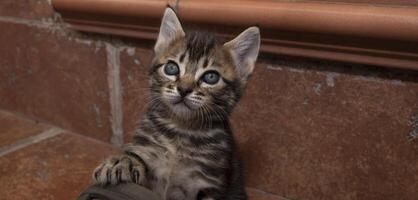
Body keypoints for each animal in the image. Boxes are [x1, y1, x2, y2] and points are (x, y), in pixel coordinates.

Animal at [93, 7, 260, 199]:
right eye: (171, 68)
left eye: (211, 77)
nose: (183, 89)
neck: (181, 130)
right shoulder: (147, 153)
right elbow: (135, 159)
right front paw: (122, 162)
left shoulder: (210, 183)